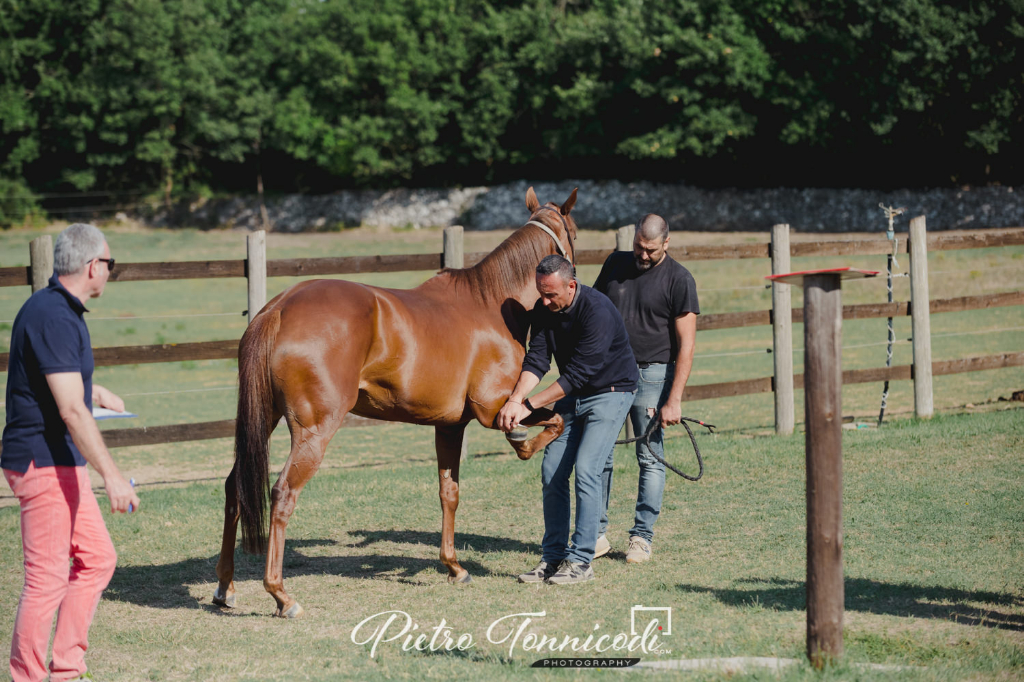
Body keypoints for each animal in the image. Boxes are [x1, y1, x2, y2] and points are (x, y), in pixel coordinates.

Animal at [211, 186, 581, 614]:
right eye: (575, 233)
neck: (490, 305)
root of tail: (280, 308)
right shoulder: (492, 410)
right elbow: (553, 421)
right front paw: (522, 443)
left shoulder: (450, 426)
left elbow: (449, 493)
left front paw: (454, 567)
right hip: (314, 430)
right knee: (283, 493)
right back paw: (281, 595)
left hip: (264, 419)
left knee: (234, 488)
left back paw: (225, 587)